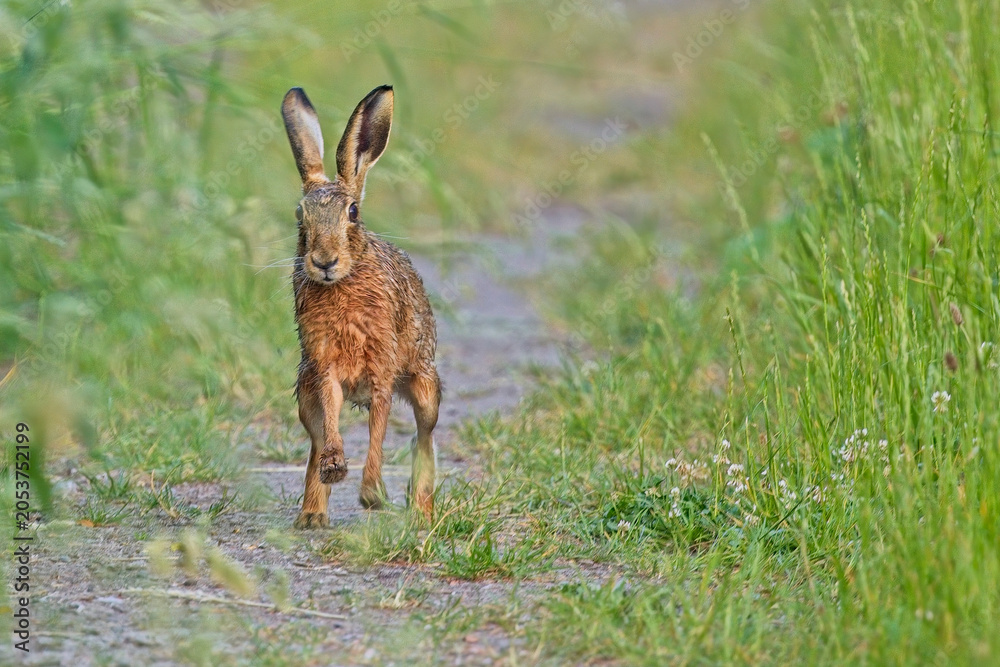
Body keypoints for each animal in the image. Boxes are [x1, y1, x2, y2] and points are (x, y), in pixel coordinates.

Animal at [281, 85, 441, 529]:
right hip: (304, 390)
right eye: (300, 214)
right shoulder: (324, 367)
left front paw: (372, 494)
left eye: (352, 212)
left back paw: (420, 510)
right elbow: (333, 418)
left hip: (425, 384)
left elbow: (379, 432)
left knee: (424, 436)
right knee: (315, 438)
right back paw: (312, 513)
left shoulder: (381, 368)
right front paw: (337, 468)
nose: (324, 261)